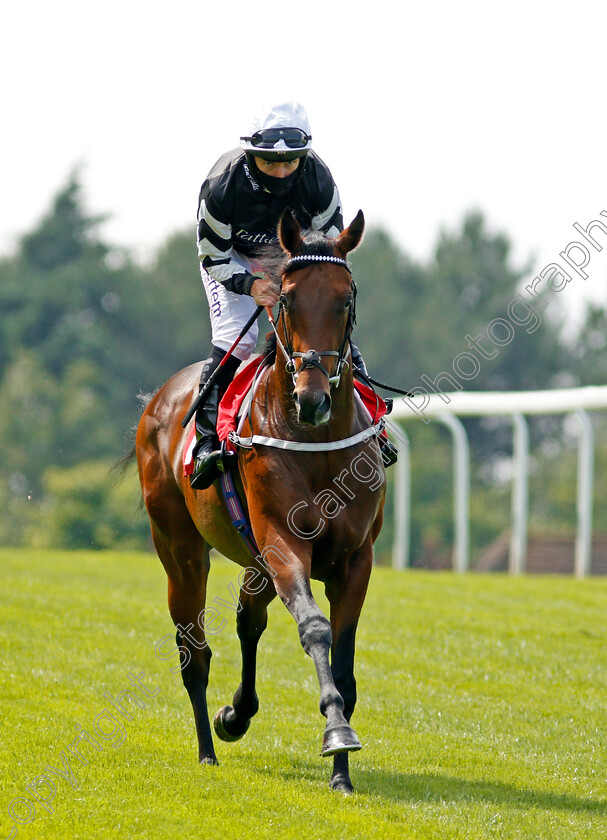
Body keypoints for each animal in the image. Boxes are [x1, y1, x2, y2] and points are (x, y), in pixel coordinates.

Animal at [136, 210, 388, 796]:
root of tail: (159, 398)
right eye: (287, 301)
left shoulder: (355, 559)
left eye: (346, 299)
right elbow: (315, 629)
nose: (313, 397)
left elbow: (344, 662)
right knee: (194, 649)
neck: (318, 442)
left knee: (247, 620)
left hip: (252, 557)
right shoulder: (283, 544)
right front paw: (335, 732)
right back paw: (208, 748)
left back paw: (236, 714)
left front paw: (342, 775)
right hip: (181, 550)